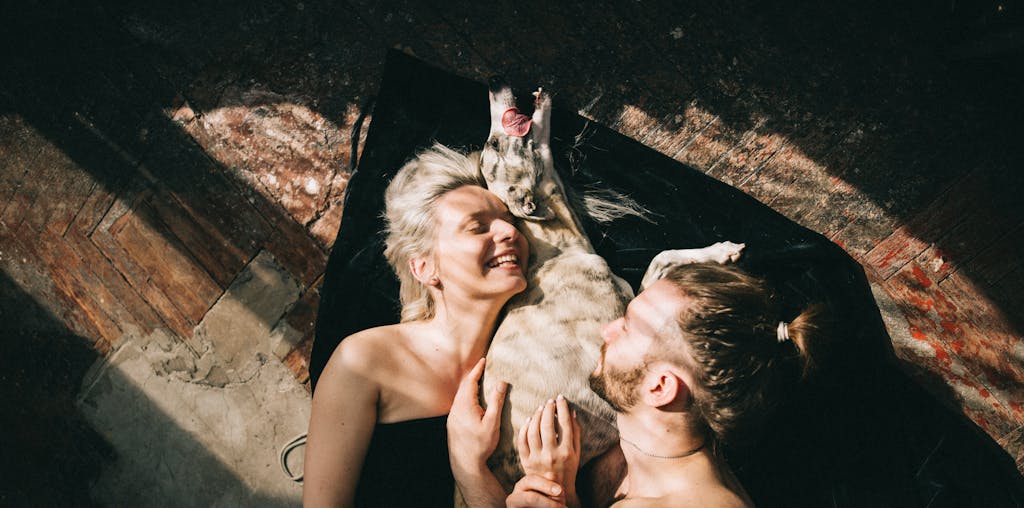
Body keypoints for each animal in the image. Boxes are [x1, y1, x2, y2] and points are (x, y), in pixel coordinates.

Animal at [475, 79, 741, 491]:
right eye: (494, 144)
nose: (495, 84)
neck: (555, 250)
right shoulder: (623, 330)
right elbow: (659, 268)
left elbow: (661, 260)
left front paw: (716, 254)